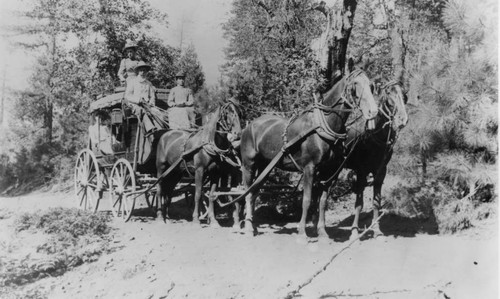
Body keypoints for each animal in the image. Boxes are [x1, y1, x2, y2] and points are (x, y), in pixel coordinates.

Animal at [240, 69, 376, 240]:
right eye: (355, 84)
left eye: (371, 85)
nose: (373, 111)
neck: (322, 126)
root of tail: (250, 126)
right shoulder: (309, 168)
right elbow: (307, 200)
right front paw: (302, 234)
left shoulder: (329, 172)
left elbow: (323, 201)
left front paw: (322, 233)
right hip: (248, 165)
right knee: (248, 193)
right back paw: (248, 228)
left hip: (265, 167)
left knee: (255, 192)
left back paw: (254, 227)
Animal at [344, 81, 410, 240]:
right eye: (389, 96)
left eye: (404, 95)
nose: (402, 119)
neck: (374, 136)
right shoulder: (361, 172)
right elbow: (359, 204)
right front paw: (354, 231)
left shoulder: (380, 172)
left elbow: (376, 202)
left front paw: (376, 229)